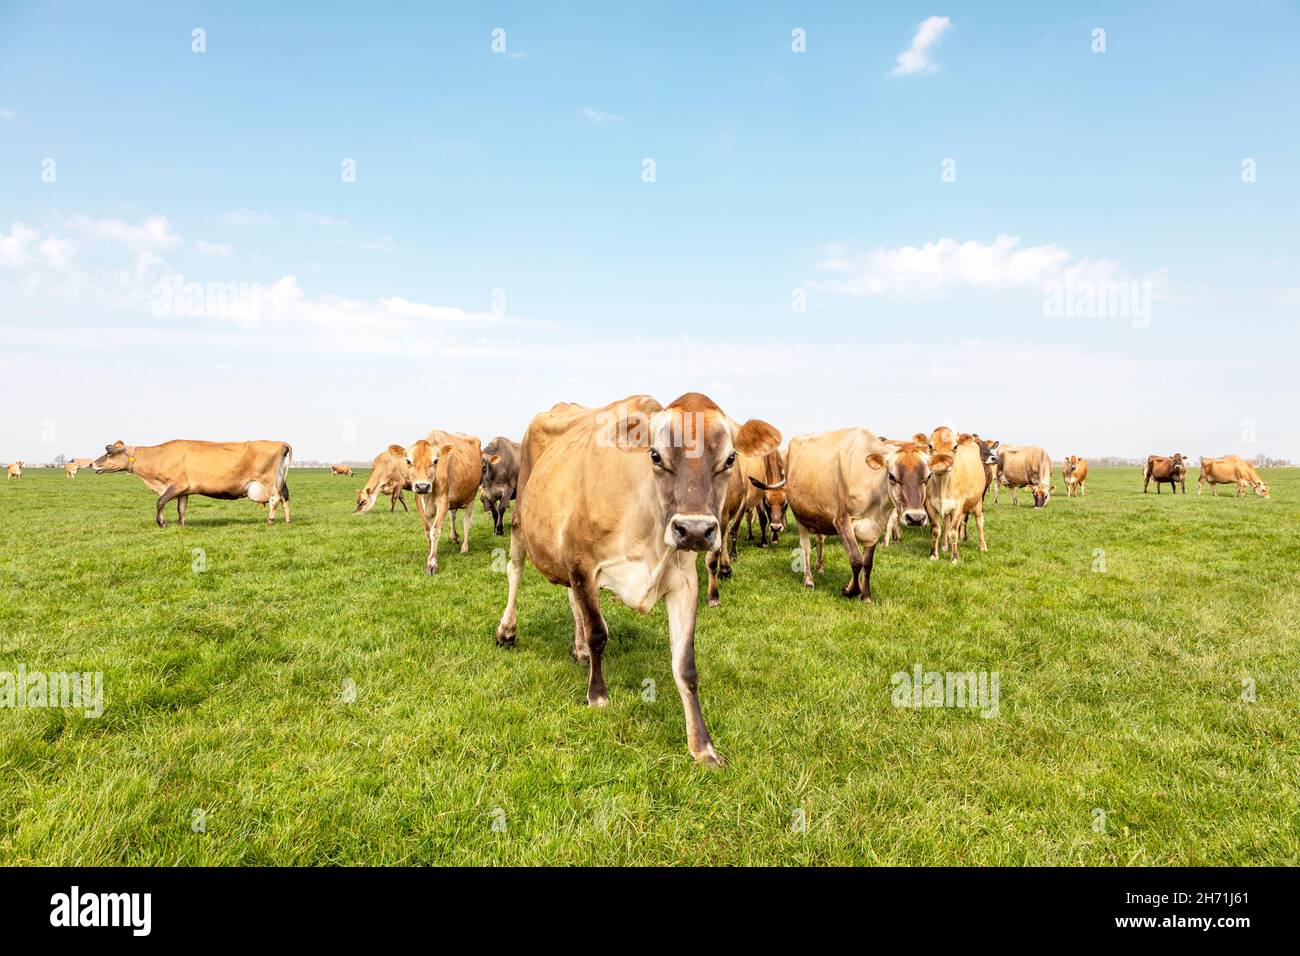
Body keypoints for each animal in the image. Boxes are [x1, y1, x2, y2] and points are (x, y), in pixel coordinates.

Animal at [91, 439, 292, 528]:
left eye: (109, 453)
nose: (92, 464)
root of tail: (280, 443)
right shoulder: (184, 491)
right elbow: (181, 508)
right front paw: (181, 524)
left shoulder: (175, 485)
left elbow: (160, 502)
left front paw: (161, 522)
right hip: (280, 481)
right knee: (285, 499)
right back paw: (288, 521)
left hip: (268, 481)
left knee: (275, 499)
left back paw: (270, 520)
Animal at [405, 429, 483, 572]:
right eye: (408, 461)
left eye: (436, 461)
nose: (422, 486)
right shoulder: (419, 502)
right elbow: (427, 530)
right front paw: (430, 552)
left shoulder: (443, 502)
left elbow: (435, 531)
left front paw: (432, 563)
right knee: (453, 516)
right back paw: (454, 537)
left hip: (471, 496)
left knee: (466, 522)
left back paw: (464, 548)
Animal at [488, 392, 769, 764]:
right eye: (656, 456)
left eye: (731, 458)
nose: (694, 529)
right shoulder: (583, 561)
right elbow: (598, 633)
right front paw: (597, 695)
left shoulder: (684, 581)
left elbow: (685, 666)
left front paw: (703, 747)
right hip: (521, 518)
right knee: (515, 570)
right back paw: (507, 630)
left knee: (571, 597)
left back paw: (578, 649)